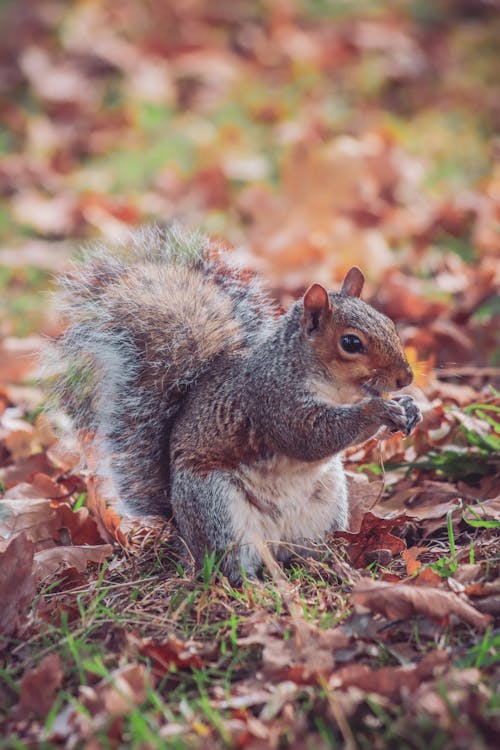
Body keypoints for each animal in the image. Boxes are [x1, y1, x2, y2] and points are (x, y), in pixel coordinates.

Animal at [47, 225, 422, 588]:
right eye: (351, 343)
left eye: (389, 323)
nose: (406, 377)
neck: (335, 389)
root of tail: (183, 531)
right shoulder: (271, 400)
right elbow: (309, 436)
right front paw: (377, 410)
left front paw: (409, 407)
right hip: (217, 508)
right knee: (229, 563)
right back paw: (255, 584)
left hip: (326, 509)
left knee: (306, 553)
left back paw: (333, 565)